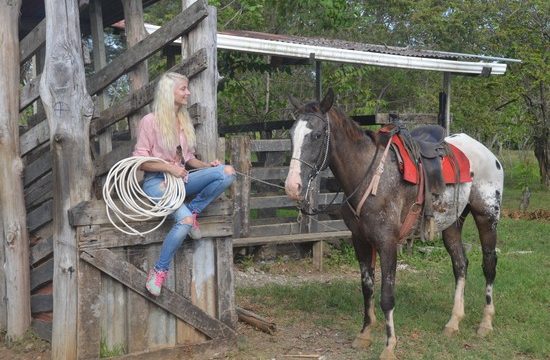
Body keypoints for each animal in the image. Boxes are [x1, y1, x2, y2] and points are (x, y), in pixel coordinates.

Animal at [286, 88, 506, 358]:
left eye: (317, 135)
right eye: (291, 135)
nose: (292, 186)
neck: (370, 176)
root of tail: (487, 153)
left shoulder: (387, 242)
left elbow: (386, 296)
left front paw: (389, 345)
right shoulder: (360, 240)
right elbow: (367, 287)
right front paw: (364, 334)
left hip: (487, 216)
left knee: (489, 264)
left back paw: (485, 323)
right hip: (452, 223)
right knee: (460, 264)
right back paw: (453, 322)